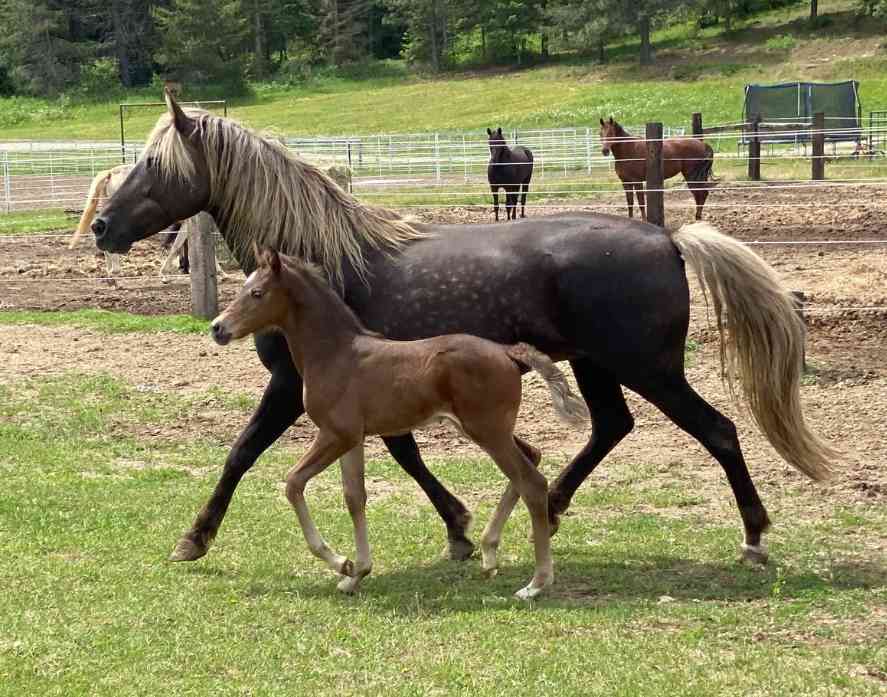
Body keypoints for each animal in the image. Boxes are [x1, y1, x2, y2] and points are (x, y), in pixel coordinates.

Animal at [212, 249, 588, 600]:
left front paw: (341, 562)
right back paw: (489, 552)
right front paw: (356, 574)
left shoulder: (336, 434)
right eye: (244, 287)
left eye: (257, 292)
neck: (336, 353)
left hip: (488, 431)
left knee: (532, 483)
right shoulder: (353, 439)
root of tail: (507, 352)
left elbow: (293, 483)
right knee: (531, 459)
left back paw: (536, 583)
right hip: (484, 429)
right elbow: (354, 497)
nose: (217, 327)